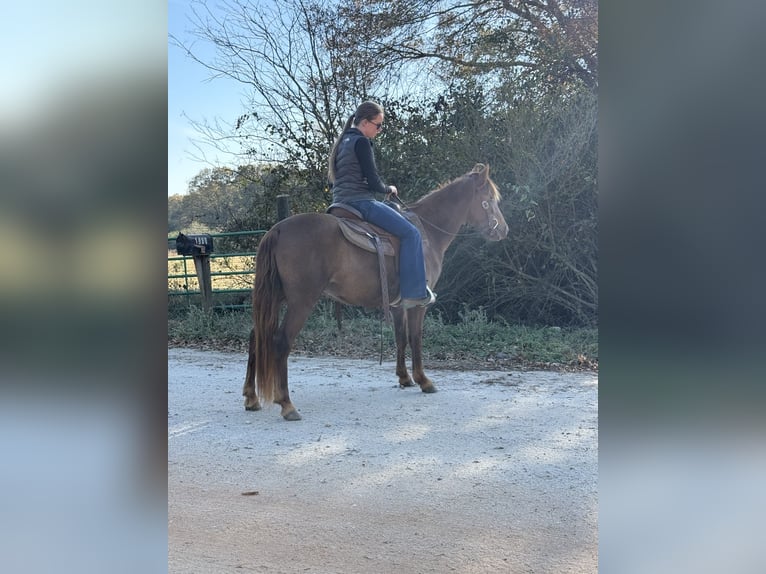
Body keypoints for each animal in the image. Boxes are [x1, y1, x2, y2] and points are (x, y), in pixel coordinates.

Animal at [243, 163, 509, 420]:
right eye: (490, 199)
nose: (503, 230)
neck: (427, 232)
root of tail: (277, 230)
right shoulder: (418, 304)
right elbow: (416, 338)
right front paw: (424, 380)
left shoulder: (399, 305)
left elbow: (401, 337)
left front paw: (404, 378)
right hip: (301, 302)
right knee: (281, 342)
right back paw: (287, 404)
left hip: (276, 298)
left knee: (256, 336)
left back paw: (251, 397)